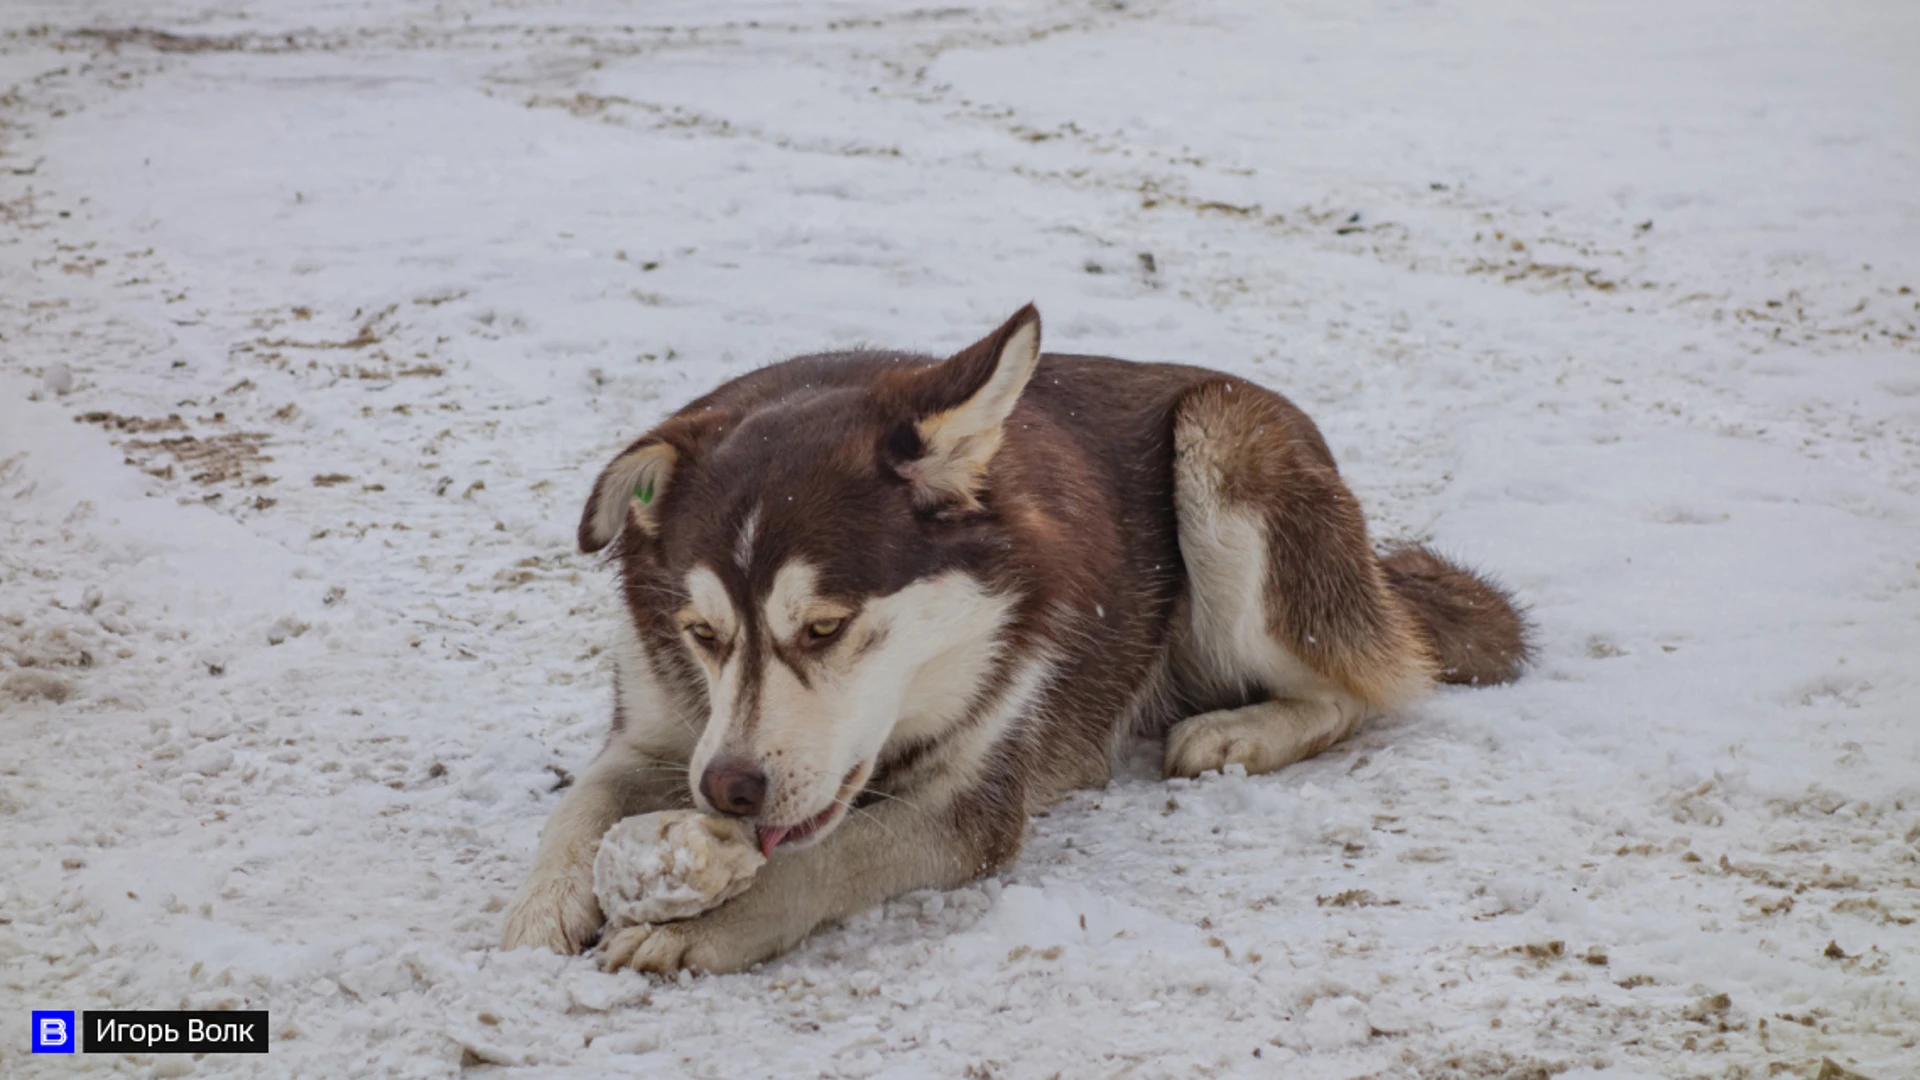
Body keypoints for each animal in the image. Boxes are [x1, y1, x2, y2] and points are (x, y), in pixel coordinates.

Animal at [499, 303, 1528, 968]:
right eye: (701, 633)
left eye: (826, 627)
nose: (729, 790)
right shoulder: (662, 733)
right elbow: (581, 804)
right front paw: (541, 908)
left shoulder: (973, 798)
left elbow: (821, 860)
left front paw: (705, 927)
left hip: (1223, 443)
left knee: (1365, 688)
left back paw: (1239, 731)